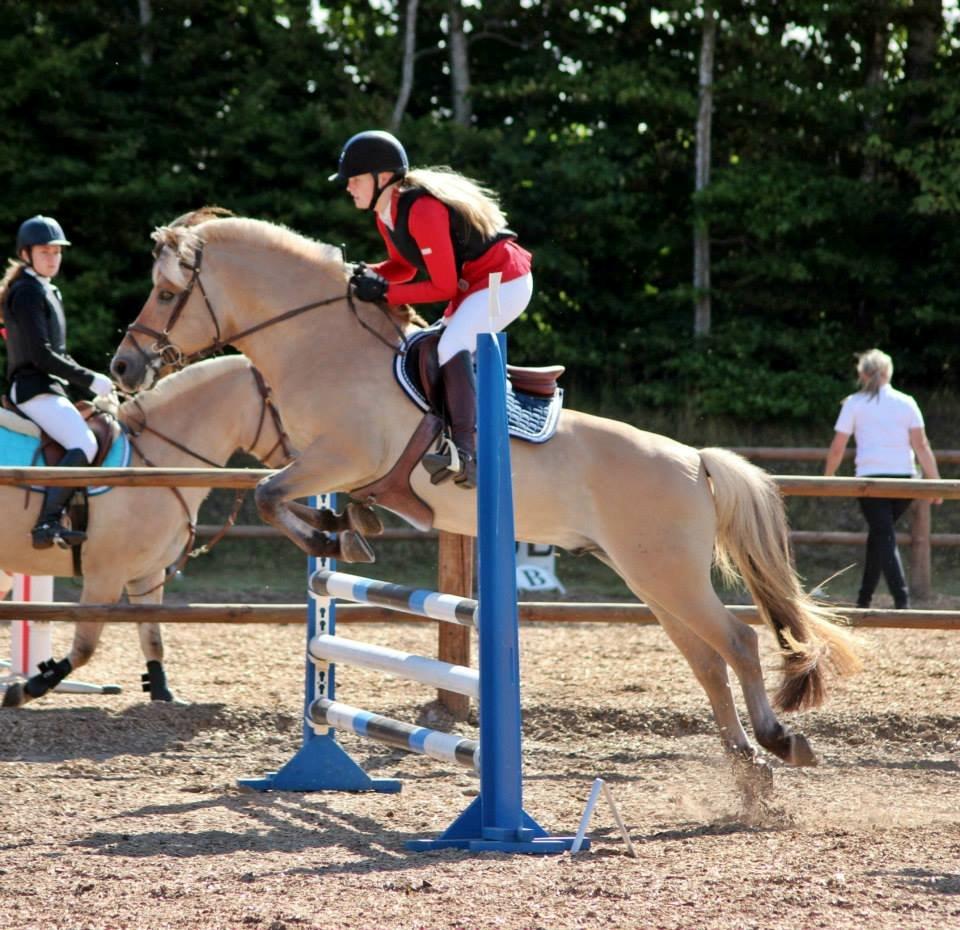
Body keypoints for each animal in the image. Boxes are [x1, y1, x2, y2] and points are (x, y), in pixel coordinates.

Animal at [0, 352, 292, 708]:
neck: (156, 464)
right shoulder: (104, 578)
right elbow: (85, 647)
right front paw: (29, 687)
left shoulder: (147, 574)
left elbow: (153, 638)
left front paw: (163, 692)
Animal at [109, 212, 860, 784]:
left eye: (167, 292)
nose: (123, 366)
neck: (321, 346)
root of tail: (696, 461)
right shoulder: (330, 468)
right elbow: (296, 503)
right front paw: (348, 531)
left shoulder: (343, 457)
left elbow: (269, 496)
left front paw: (335, 536)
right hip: (650, 577)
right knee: (706, 660)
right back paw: (745, 766)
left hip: (669, 574)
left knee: (737, 640)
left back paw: (778, 740)